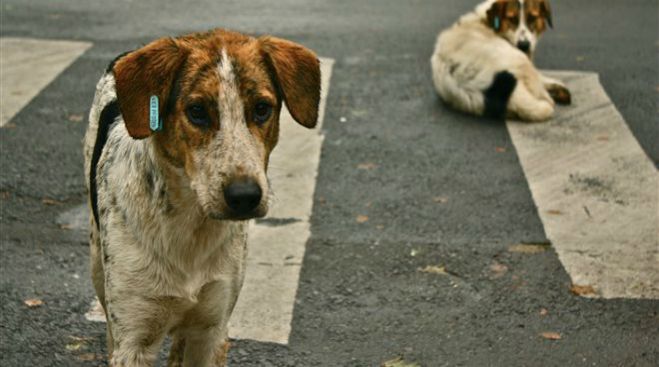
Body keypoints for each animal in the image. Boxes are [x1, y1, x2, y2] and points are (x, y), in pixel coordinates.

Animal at [84, 29, 320, 367]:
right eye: (196, 111)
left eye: (262, 108)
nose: (245, 196)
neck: (190, 224)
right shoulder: (133, 340)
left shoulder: (212, 329)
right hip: (97, 265)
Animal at [434, 0, 572, 123]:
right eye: (511, 19)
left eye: (532, 18)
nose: (524, 45)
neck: (486, 21)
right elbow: (541, 78)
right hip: (519, 59)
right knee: (544, 96)